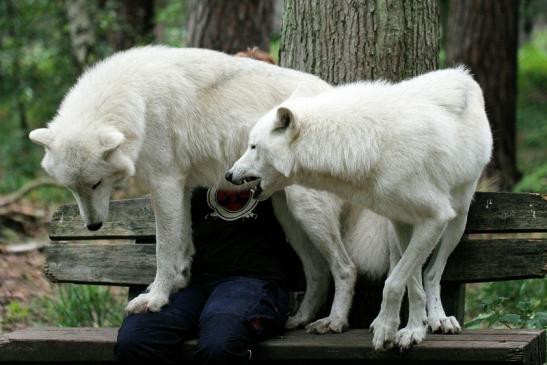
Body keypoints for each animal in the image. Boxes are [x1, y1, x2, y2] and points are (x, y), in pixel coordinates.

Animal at [27, 45, 392, 332]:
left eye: (96, 183)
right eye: (73, 188)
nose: (92, 226)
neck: (136, 99)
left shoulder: (165, 185)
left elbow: (163, 250)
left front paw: (155, 299)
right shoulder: (181, 187)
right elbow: (182, 245)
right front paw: (177, 284)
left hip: (306, 211)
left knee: (345, 268)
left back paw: (334, 322)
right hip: (289, 216)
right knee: (317, 272)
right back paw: (300, 319)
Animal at [229, 67, 494, 348]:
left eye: (253, 146)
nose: (228, 174)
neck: (369, 143)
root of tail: (462, 74)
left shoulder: (435, 218)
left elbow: (395, 283)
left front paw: (393, 331)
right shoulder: (403, 220)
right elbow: (410, 283)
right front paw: (411, 329)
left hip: (457, 219)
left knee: (433, 273)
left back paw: (439, 319)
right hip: (394, 228)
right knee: (407, 268)